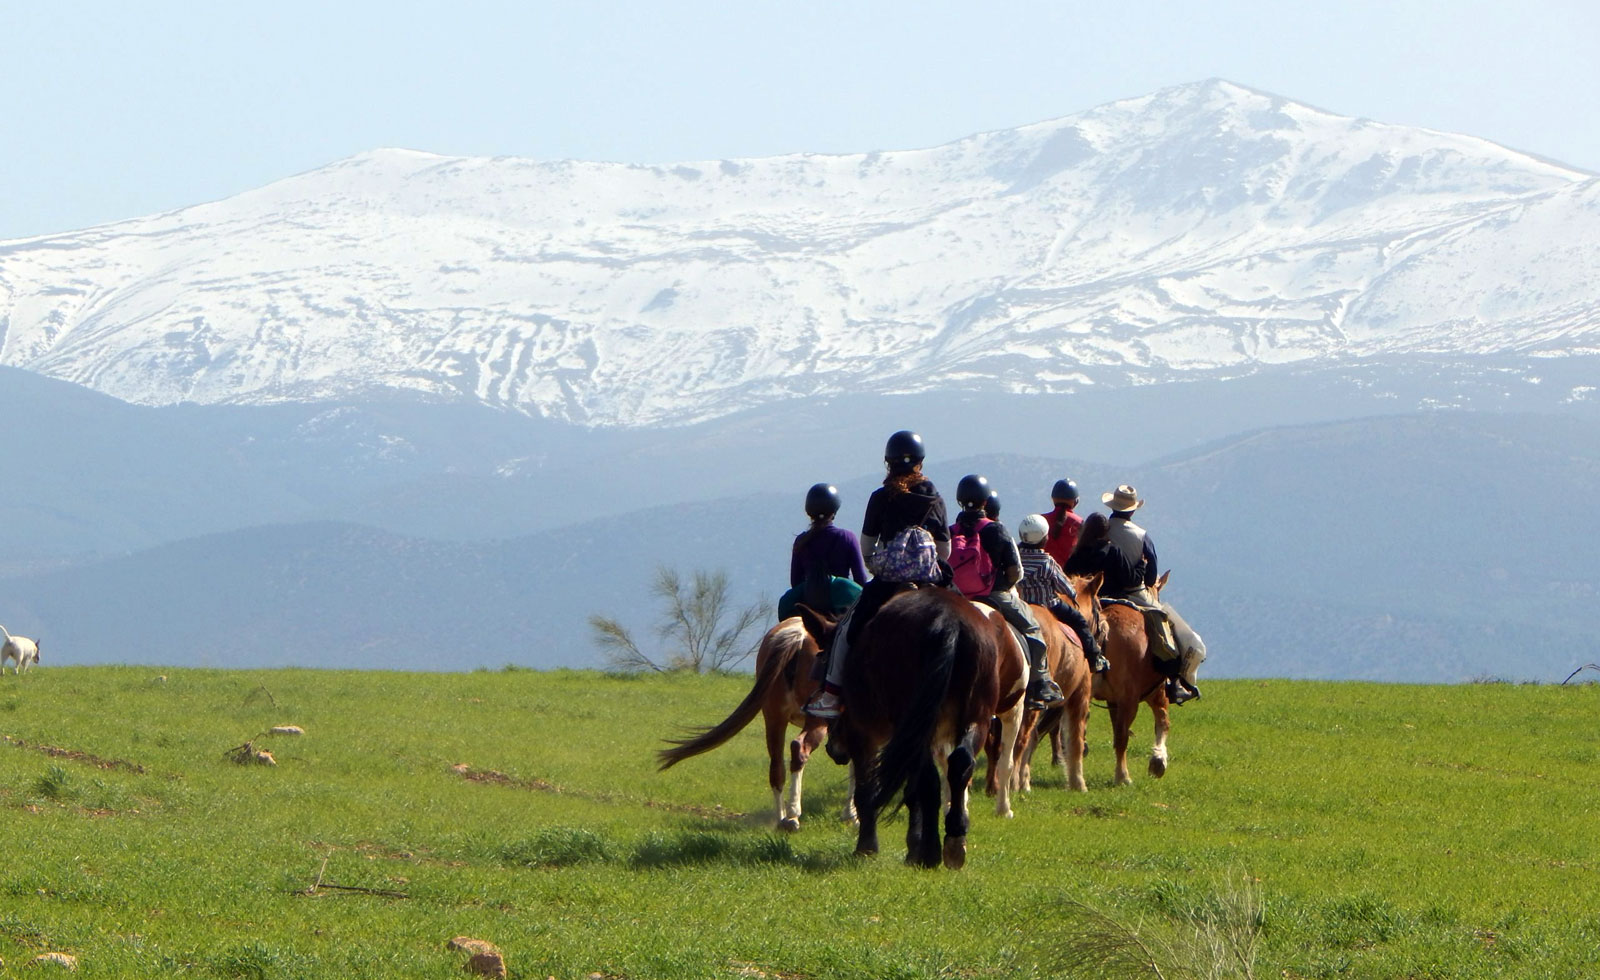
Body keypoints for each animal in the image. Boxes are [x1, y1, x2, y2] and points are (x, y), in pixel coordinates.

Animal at [652, 614, 857, 832]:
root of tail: (797, 636)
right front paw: (852, 814)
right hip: (815, 720)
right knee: (798, 750)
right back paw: (793, 815)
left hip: (774, 719)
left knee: (776, 767)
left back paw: (781, 819)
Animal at [800, 586, 998, 871]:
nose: (835, 750)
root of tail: (948, 622)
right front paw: (912, 847)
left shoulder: (862, 734)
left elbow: (866, 790)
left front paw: (867, 847)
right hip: (974, 718)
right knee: (960, 764)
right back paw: (953, 842)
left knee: (928, 779)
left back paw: (930, 852)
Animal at [1100, 570, 1177, 784]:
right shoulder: (1156, 693)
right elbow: (1163, 721)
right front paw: (1158, 761)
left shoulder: (1113, 700)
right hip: (1130, 699)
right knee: (1122, 737)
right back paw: (1123, 777)